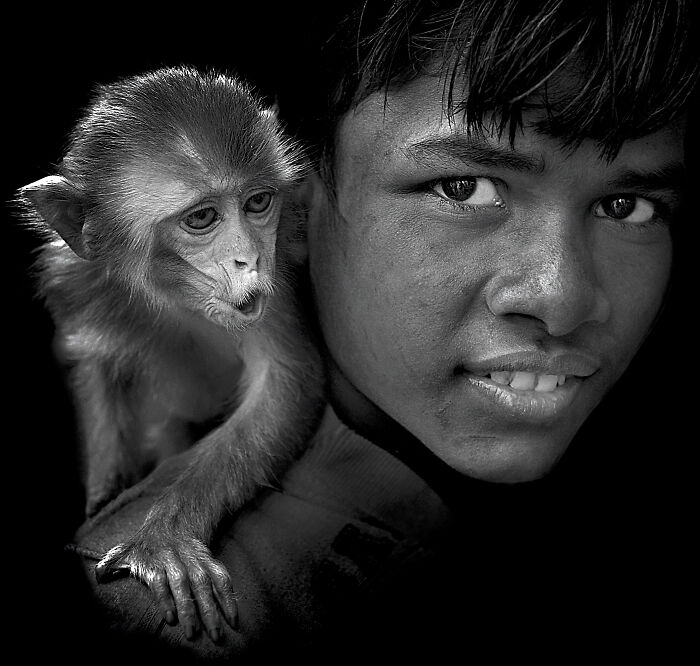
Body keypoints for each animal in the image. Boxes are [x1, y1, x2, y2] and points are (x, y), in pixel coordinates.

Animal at [17, 66, 325, 643]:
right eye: (202, 217)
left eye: (257, 203)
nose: (249, 259)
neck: (171, 296)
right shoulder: (77, 281)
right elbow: (89, 360)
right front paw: (105, 489)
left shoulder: (279, 266)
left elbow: (283, 384)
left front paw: (164, 537)